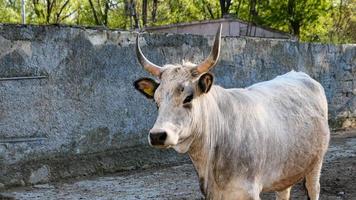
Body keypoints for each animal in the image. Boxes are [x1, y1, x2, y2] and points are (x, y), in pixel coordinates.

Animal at [134, 25, 330, 199]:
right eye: (156, 101)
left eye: (188, 97)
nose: (157, 135)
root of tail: (301, 75)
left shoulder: (249, 192)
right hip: (286, 171)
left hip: (315, 164)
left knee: (314, 188)